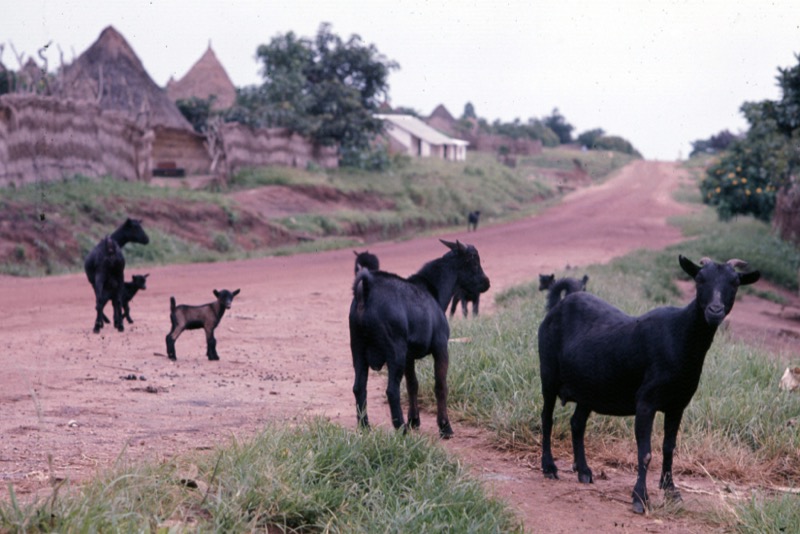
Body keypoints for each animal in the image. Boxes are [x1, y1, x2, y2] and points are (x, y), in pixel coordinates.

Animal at [348, 242, 490, 440]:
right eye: (474, 262)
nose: (486, 282)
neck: (433, 291)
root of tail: (366, 290)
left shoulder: (409, 357)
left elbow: (412, 385)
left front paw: (414, 420)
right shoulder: (441, 349)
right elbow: (440, 386)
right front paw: (444, 427)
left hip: (358, 349)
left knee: (359, 387)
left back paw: (365, 427)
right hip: (395, 351)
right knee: (392, 390)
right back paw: (401, 429)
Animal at [540, 258, 760, 516]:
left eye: (735, 282)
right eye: (699, 278)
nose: (714, 311)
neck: (680, 337)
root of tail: (558, 306)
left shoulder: (677, 404)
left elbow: (669, 447)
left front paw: (671, 490)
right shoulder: (646, 402)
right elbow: (645, 453)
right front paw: (639, 498)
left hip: (589, 388)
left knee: (577, 423)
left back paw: (584, 471)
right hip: (548, 373)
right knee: (547, 418)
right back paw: (549, 467)